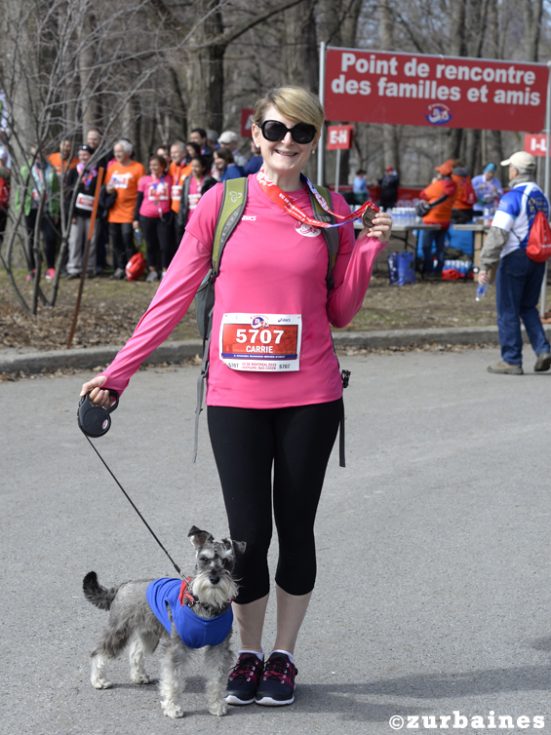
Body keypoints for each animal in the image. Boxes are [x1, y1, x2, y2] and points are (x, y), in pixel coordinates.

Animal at [83, 525, 245, 719]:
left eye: (227, 561)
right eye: (204, 559)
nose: (214, 579)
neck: (205, 607)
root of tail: (122, 586)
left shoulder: (218, 648)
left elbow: (217, 678)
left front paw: (216, 705)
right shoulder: (176, 649)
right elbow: (172, 680)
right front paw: (172, 707)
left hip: (148, 633)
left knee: (135, 651)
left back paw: (139, 676)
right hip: (118, 631)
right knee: (99, 652)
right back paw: (99, 680)